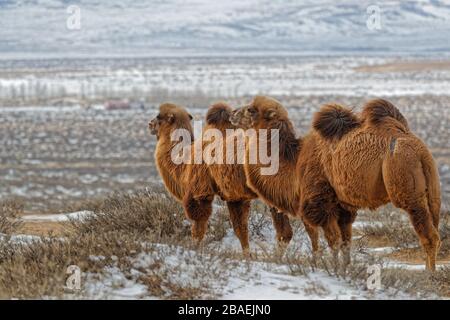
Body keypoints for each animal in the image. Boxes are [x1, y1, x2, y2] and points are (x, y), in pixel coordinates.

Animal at [312, 99, 440, 270]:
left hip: (405, 180)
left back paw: (429, 273)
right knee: (434, 221)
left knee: (428, 233)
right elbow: (345, 237)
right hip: (433, 188)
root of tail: (421, 152)